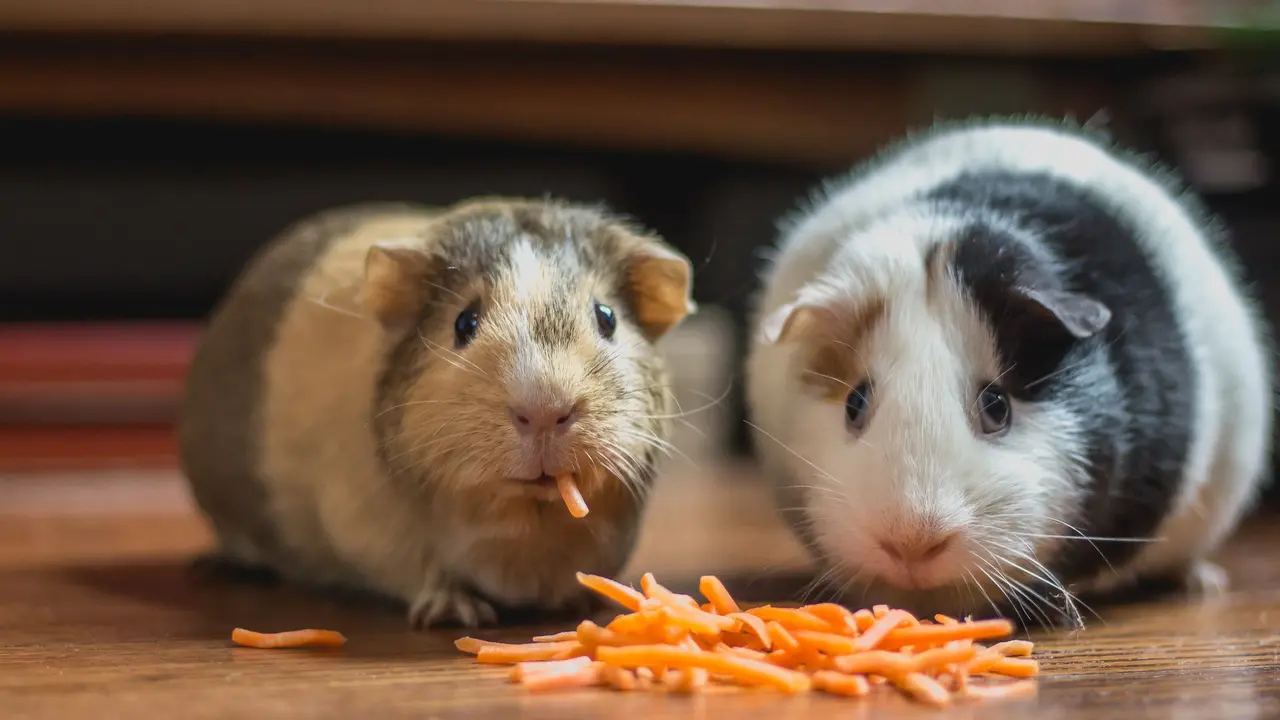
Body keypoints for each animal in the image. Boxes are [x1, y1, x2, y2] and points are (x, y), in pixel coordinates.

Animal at [179, 198, 695, 628]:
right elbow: (431, 573)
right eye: (464, 322)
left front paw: (583, 601)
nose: (545, 410)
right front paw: (458, 614)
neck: (528, 523)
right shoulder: (375, 536)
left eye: (607, 317)